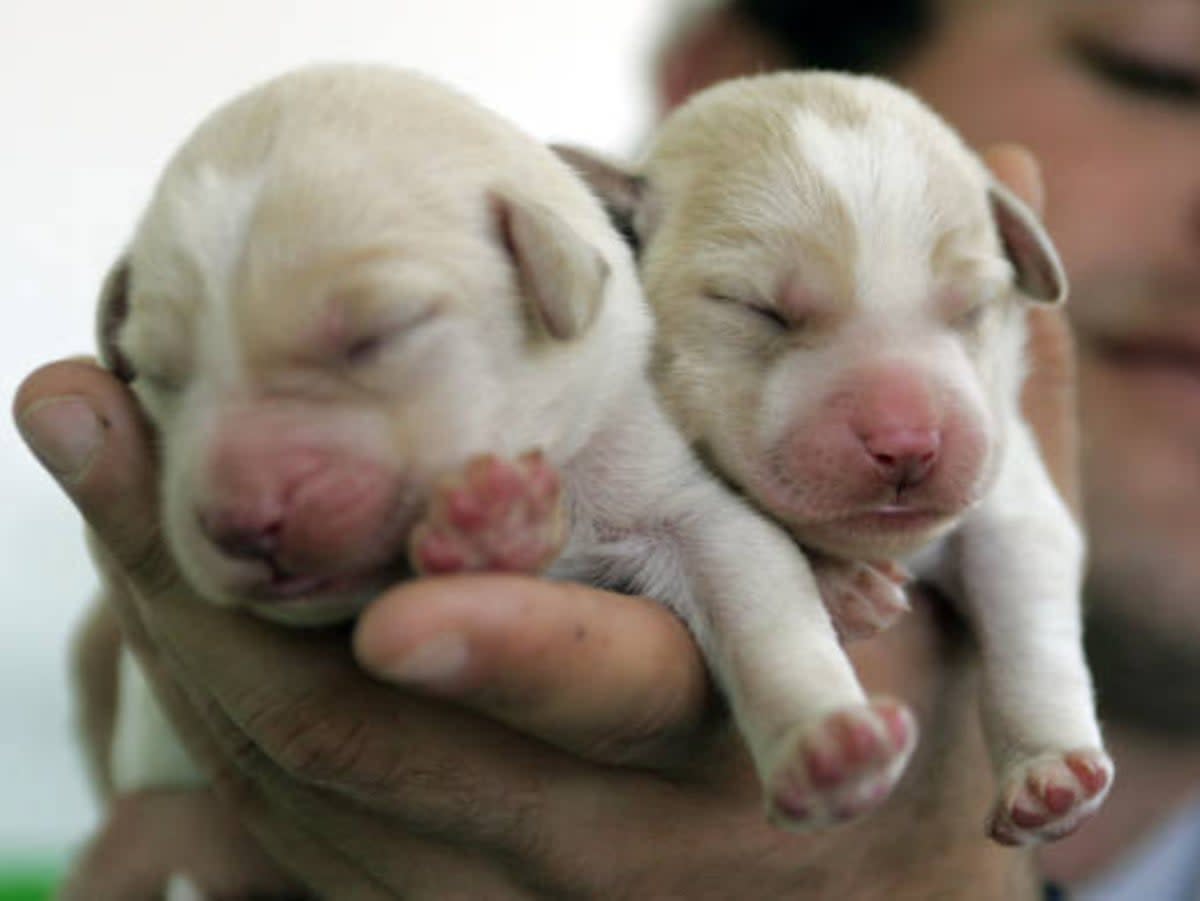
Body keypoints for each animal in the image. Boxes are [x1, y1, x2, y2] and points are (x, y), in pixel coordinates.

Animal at [88, 61, 916, 897]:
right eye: (159, 375)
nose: (242, 519)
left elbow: (759, 593)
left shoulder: (662, 484)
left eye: (383, 332)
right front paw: (494, 528)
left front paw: (830, 744)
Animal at [561, 72, 1113, 844]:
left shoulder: (1011, 491)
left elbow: (1029, 622)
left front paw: (1051, 771)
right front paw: (841, 588)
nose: (907, 442)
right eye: (760, 309)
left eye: (972, 308)